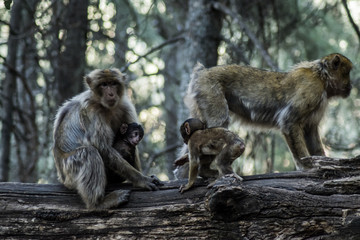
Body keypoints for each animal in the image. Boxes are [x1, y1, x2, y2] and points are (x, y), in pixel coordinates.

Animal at [52, 68, 162, 209]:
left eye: (113, 83)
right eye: (104, 84)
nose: (110, 94)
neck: (107, 107)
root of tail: (63, 179)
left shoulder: (125, 106)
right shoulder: (92, 111)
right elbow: (102, 147)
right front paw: (141, 179)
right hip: (70, 172)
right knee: (89, 152)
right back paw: (98, 203)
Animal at [183, 53, 352, 172]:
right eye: (347, 73)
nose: (351, 85)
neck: (322, 77)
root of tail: (202, 72)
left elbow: (311, 133)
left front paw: (322, 161)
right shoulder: (311, 90)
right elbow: (289, 122)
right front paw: (307, 166)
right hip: (210, 91)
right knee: (218, 123)